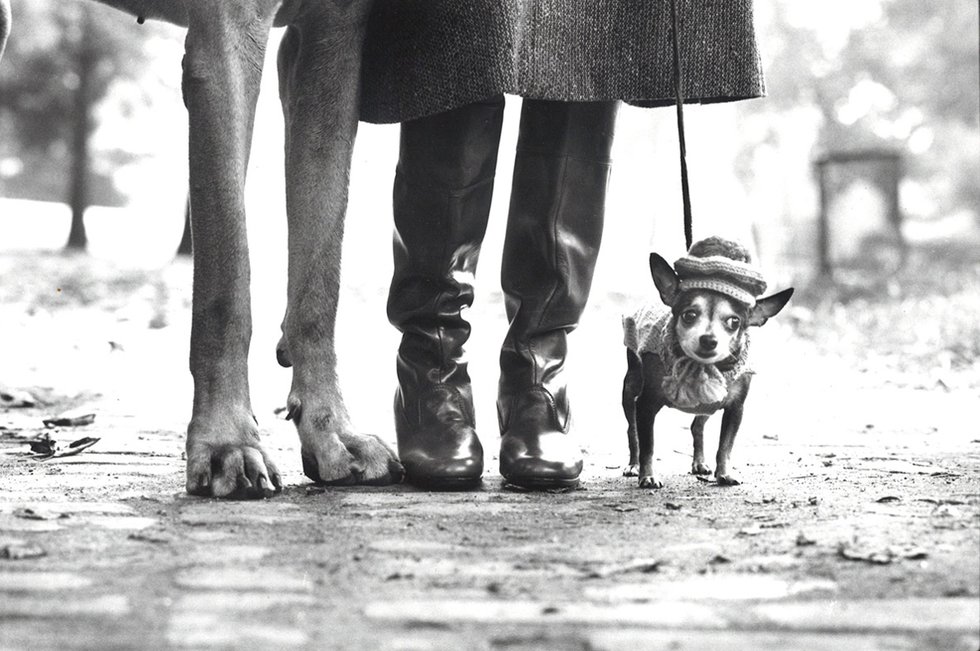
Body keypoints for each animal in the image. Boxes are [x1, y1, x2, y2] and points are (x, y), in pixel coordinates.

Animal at [0, 1, 404, 500]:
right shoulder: (227, 42)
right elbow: (228, 275)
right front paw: (229, 442)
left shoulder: (334, 41)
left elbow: (320, 279)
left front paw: (334, 434)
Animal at [624, 238, 792, 488]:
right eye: (689, 315)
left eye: (734, 322)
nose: (709, 340)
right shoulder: (646, 405)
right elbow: (648, 446)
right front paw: (648, 475)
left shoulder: (735, 409)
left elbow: (725, 446)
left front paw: (724, 473)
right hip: (630, 389)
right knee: (632, 431)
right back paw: (634, 465)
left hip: (708, 405)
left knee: (697, 427)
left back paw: (699, 463)